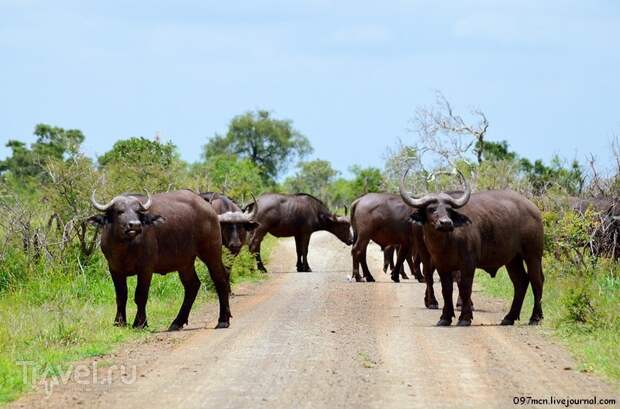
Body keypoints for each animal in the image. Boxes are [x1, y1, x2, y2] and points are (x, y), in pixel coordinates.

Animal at [88, 190, 256, 330]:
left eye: (137, 212)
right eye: (119, 211)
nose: (134, 225)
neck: (126, 247)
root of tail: (209, 209)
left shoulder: (146, 269)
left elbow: (140, 295)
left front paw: (140, 323)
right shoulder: (114, 269)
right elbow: (121, 295)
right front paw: (119, 322)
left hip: (211, 252)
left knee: (220, 280)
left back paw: (223, 320)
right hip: (185, 263)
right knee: (192, 286)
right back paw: (177, 322)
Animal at [402, 169, 544, 326]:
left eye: (449, 210)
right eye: (431, 209)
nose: (446, 223)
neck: (446, 242)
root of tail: (534, 209)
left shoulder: (468, 264)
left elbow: (465, 287)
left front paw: (465, 317)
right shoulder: (441, 265)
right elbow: (446, 289)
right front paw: (445, 317)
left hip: (533, 254)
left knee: (536, 281)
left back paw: (535, 318)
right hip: (513, 259)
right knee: (521, 282)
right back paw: (509, 317)